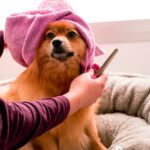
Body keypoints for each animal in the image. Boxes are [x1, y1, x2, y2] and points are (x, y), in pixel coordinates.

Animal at [3, 20, 105, 149]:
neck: (61, 77)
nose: (56, 42)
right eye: (50, 35)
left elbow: (95, 138)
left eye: (71, 34)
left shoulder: (88, 119)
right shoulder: (46, 135)